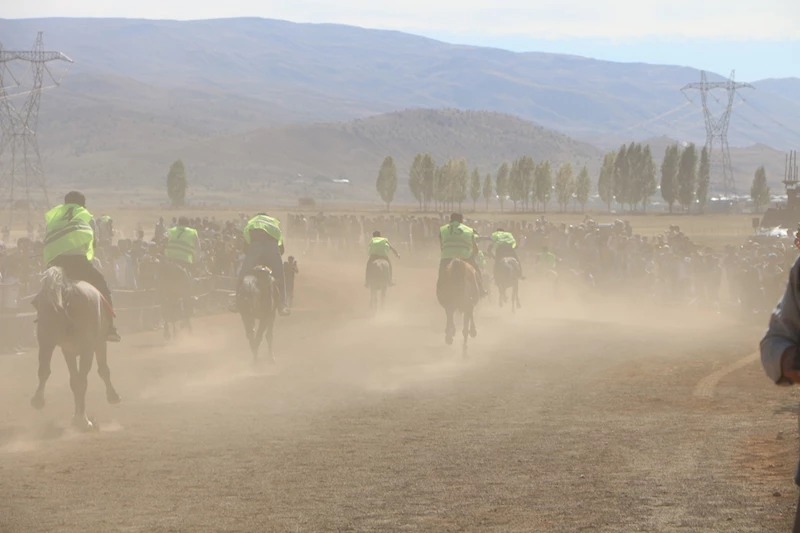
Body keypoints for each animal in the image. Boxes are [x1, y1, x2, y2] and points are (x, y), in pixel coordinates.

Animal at [30, 268, 120, 430]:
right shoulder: (98, 343)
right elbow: (102, 370)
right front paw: (112, 396)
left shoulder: (68, 350)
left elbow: (74, 380)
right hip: (88, 349)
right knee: (83, 381)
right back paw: (83, 420)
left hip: (46, 340)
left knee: (45, 370)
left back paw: (38, 400)